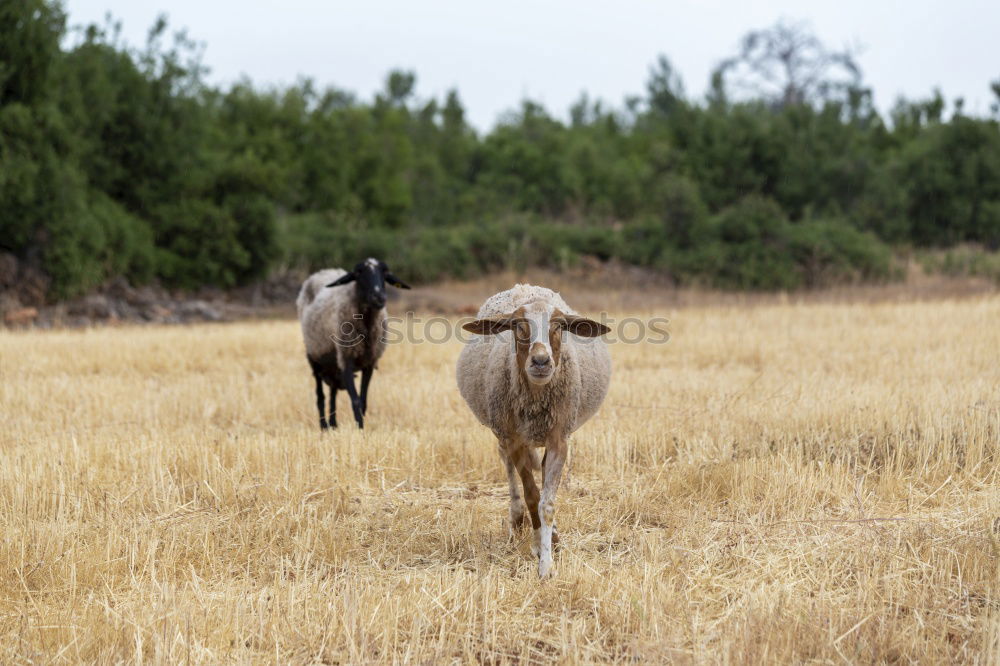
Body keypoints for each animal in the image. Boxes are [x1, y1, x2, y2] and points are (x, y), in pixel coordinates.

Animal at [294, 256, 408, 428]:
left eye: (385, 273)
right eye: (358, 273)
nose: (379, 297)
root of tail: (324, 271)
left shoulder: (369, 363)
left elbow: (363, 400)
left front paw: (361, 427)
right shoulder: (346, 359)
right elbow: (355, 401)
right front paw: (360, 429)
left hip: (334, 364)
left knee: (333, 390)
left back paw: (333, 424)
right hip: (314, 357)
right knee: (320, 396)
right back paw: (324, 426)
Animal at [458, 282, 608, 572]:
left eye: (559, 326)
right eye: (517, 325)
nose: (540, 361)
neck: (537, 399)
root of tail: (524, 286)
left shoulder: (559, 439)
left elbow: (546, 503)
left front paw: (547, 564)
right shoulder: (514, 440)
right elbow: (531, 496)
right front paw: (539, 547)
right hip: (503, 432)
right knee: (509, 467)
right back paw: (517, 521)